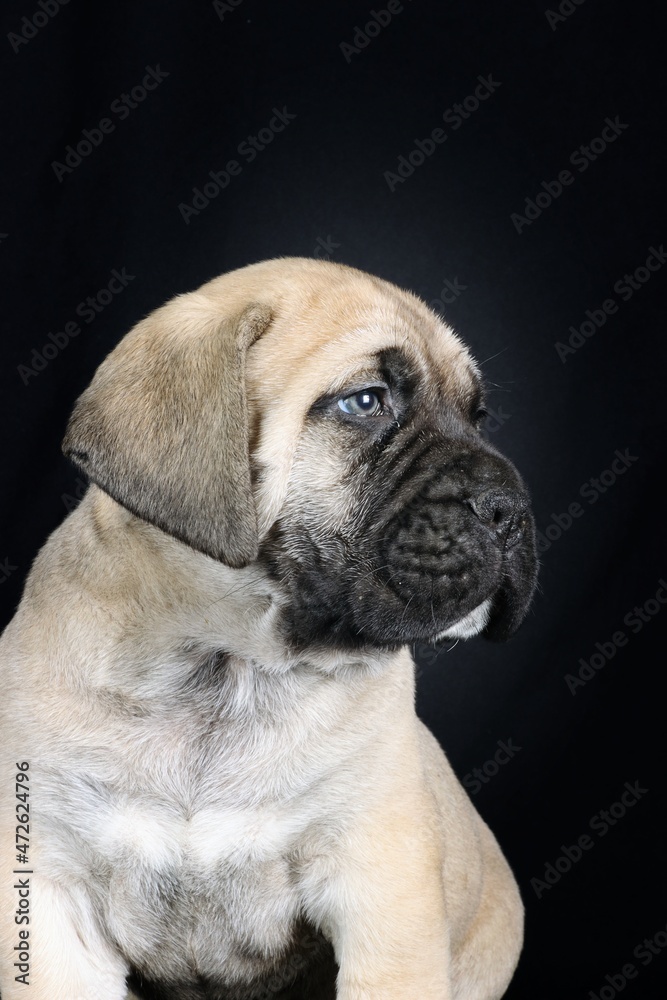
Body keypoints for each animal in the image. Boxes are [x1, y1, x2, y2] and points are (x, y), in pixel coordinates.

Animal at [0, 260, 536, 1000]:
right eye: (365, 403)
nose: (512, 508)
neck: (224, 663)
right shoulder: (49, 891)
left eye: (477, 416)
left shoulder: (381, 886)